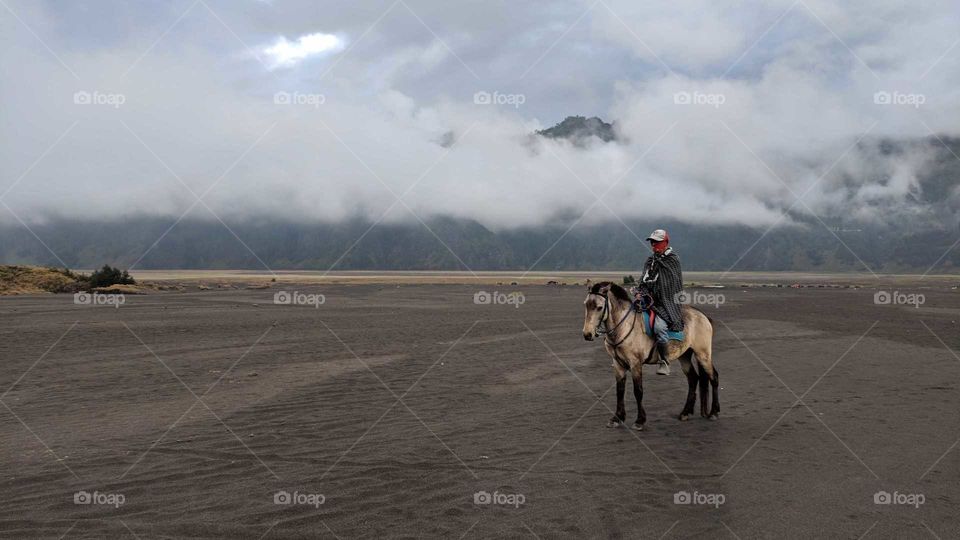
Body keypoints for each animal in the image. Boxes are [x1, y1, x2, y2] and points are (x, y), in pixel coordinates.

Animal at [580, 282, 716, 430]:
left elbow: (638, 391)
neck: (624, 327)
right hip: (685, 356)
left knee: (713, 377)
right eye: (586, 304)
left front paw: (640, 420)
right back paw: (685, 413)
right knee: (693, 379)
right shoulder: (618, 364)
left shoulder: (635, 363)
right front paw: (617, 418)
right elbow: (620, 390)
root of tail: (702, 316)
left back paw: (714, 412)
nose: (587, 334)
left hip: (703, 354)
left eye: (599, 307)